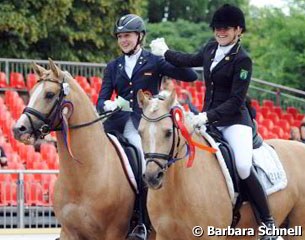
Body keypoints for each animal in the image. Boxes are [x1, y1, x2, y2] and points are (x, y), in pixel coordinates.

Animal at [12, 59, 141, 239]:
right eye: (31, 93)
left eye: (49, 94)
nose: (19, 129)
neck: (81, 175)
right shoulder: (68, 232)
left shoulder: (114, 232)